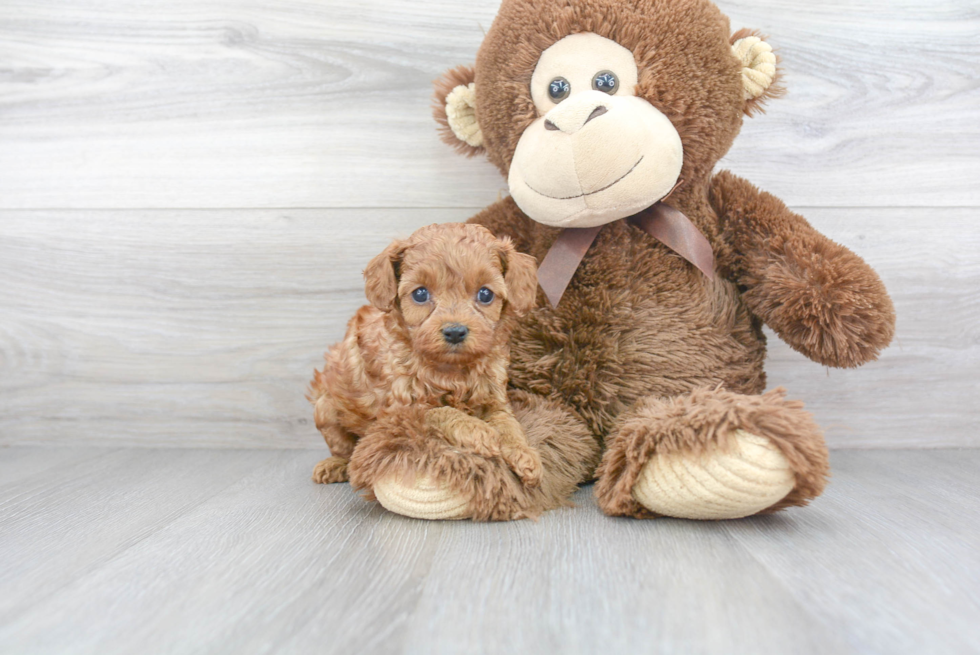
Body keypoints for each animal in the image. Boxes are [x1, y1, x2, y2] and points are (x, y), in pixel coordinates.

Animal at [308, 223, 544, 494]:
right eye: (420, 294)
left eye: (485, 294)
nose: (455, 331)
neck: (452, 371)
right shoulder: (403, 410)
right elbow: (441, 412)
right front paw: (479, 431)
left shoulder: (494, 398)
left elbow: (508, 424)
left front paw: (525, 454)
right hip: (325, 408)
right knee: (343, 448)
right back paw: (333, 465)